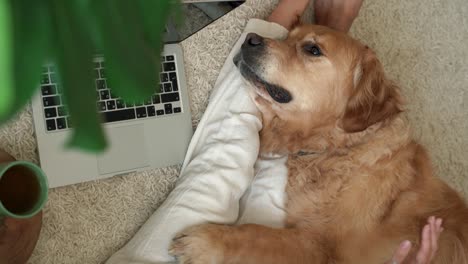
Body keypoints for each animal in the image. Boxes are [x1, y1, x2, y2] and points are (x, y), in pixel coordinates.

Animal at [169, 23, 468, 262]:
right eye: (288, 36)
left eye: (312, 49)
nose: (249, 39)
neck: (335, 150)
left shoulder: (323, 248)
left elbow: (258, 234)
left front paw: (204, 243)